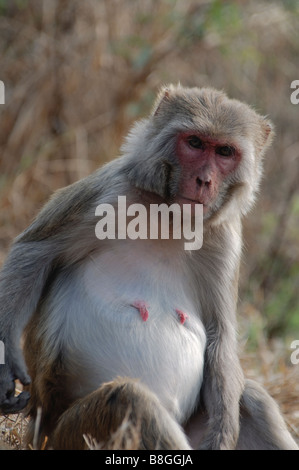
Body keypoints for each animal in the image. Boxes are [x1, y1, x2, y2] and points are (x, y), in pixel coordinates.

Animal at [0, 85, 298, 452]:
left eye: (225, 151)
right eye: (195, 143)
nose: (204, 180)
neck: (167, 214)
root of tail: (36, 431)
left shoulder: (224, 238)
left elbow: (221, 332)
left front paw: (224, 431)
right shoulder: (110, 191)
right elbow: (32, 254)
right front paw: (7, 366)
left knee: (251, 397)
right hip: (65, 435)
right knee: (129, 397)